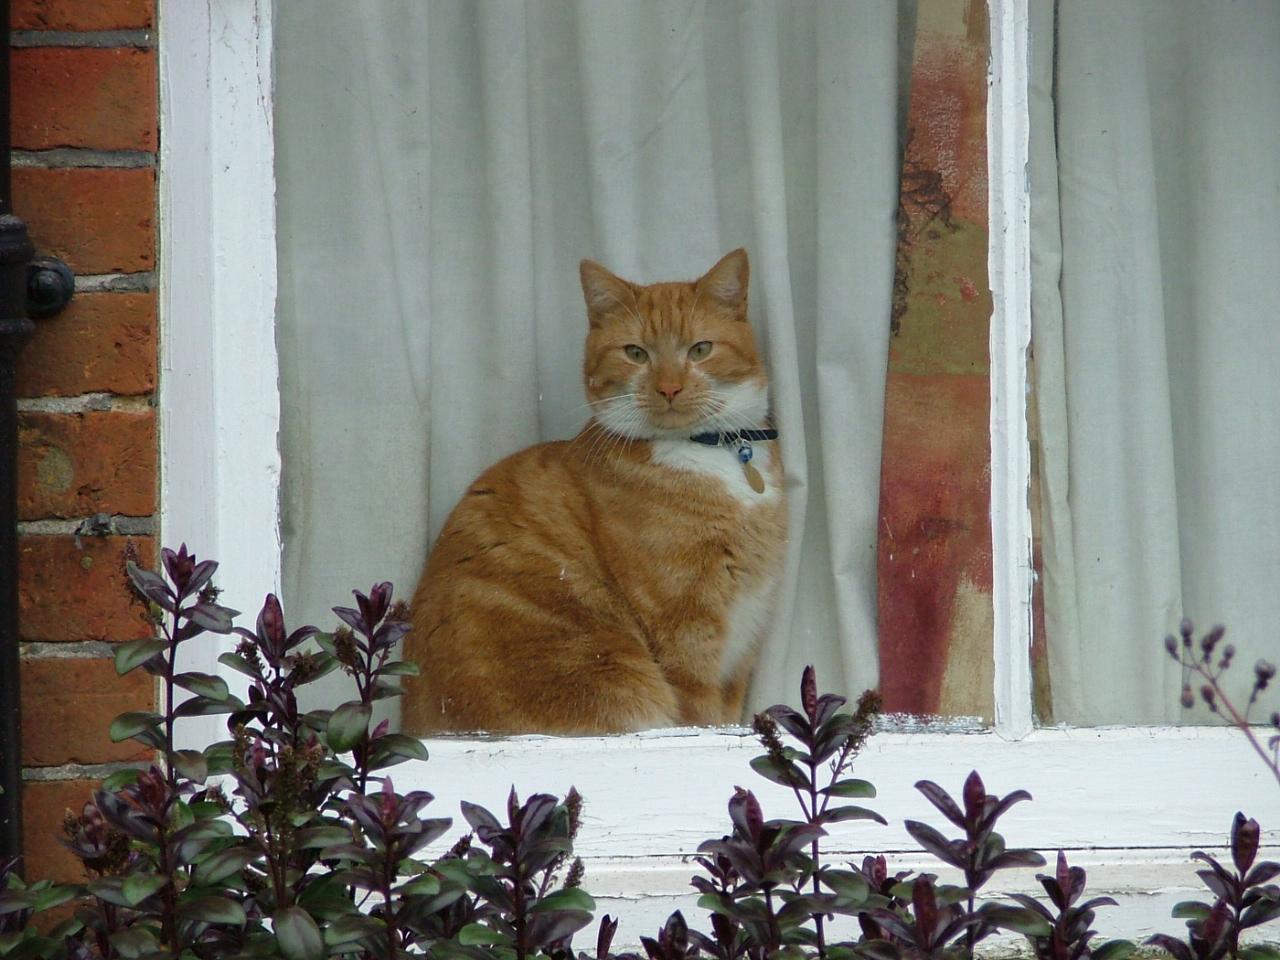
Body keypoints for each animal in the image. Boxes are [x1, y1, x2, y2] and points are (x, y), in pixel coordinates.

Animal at [401, 249, 787, 734]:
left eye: (700, 349)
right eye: (635, 353)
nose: (669, 387)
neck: (711, 452)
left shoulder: (744, 638)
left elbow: (729, 714)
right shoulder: (686, 631)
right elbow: (703, 716)